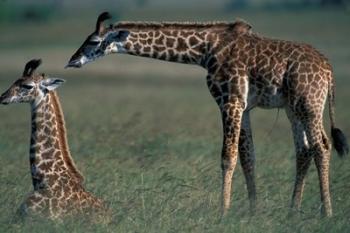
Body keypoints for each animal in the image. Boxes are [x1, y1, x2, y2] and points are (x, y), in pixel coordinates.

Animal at [65, 12, 348, 217]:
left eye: (93, 41)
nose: (72, 61)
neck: (204, 50)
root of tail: (329, 70)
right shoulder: (243, 106)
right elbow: (248, 157)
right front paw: (253, 211)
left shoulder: (229, 101)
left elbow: (228, 156)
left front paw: (223, 213)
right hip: (293, 108)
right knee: (304, 150)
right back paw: (293, 211)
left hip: (309, 104)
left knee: (322, 146)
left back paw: (327, 213)